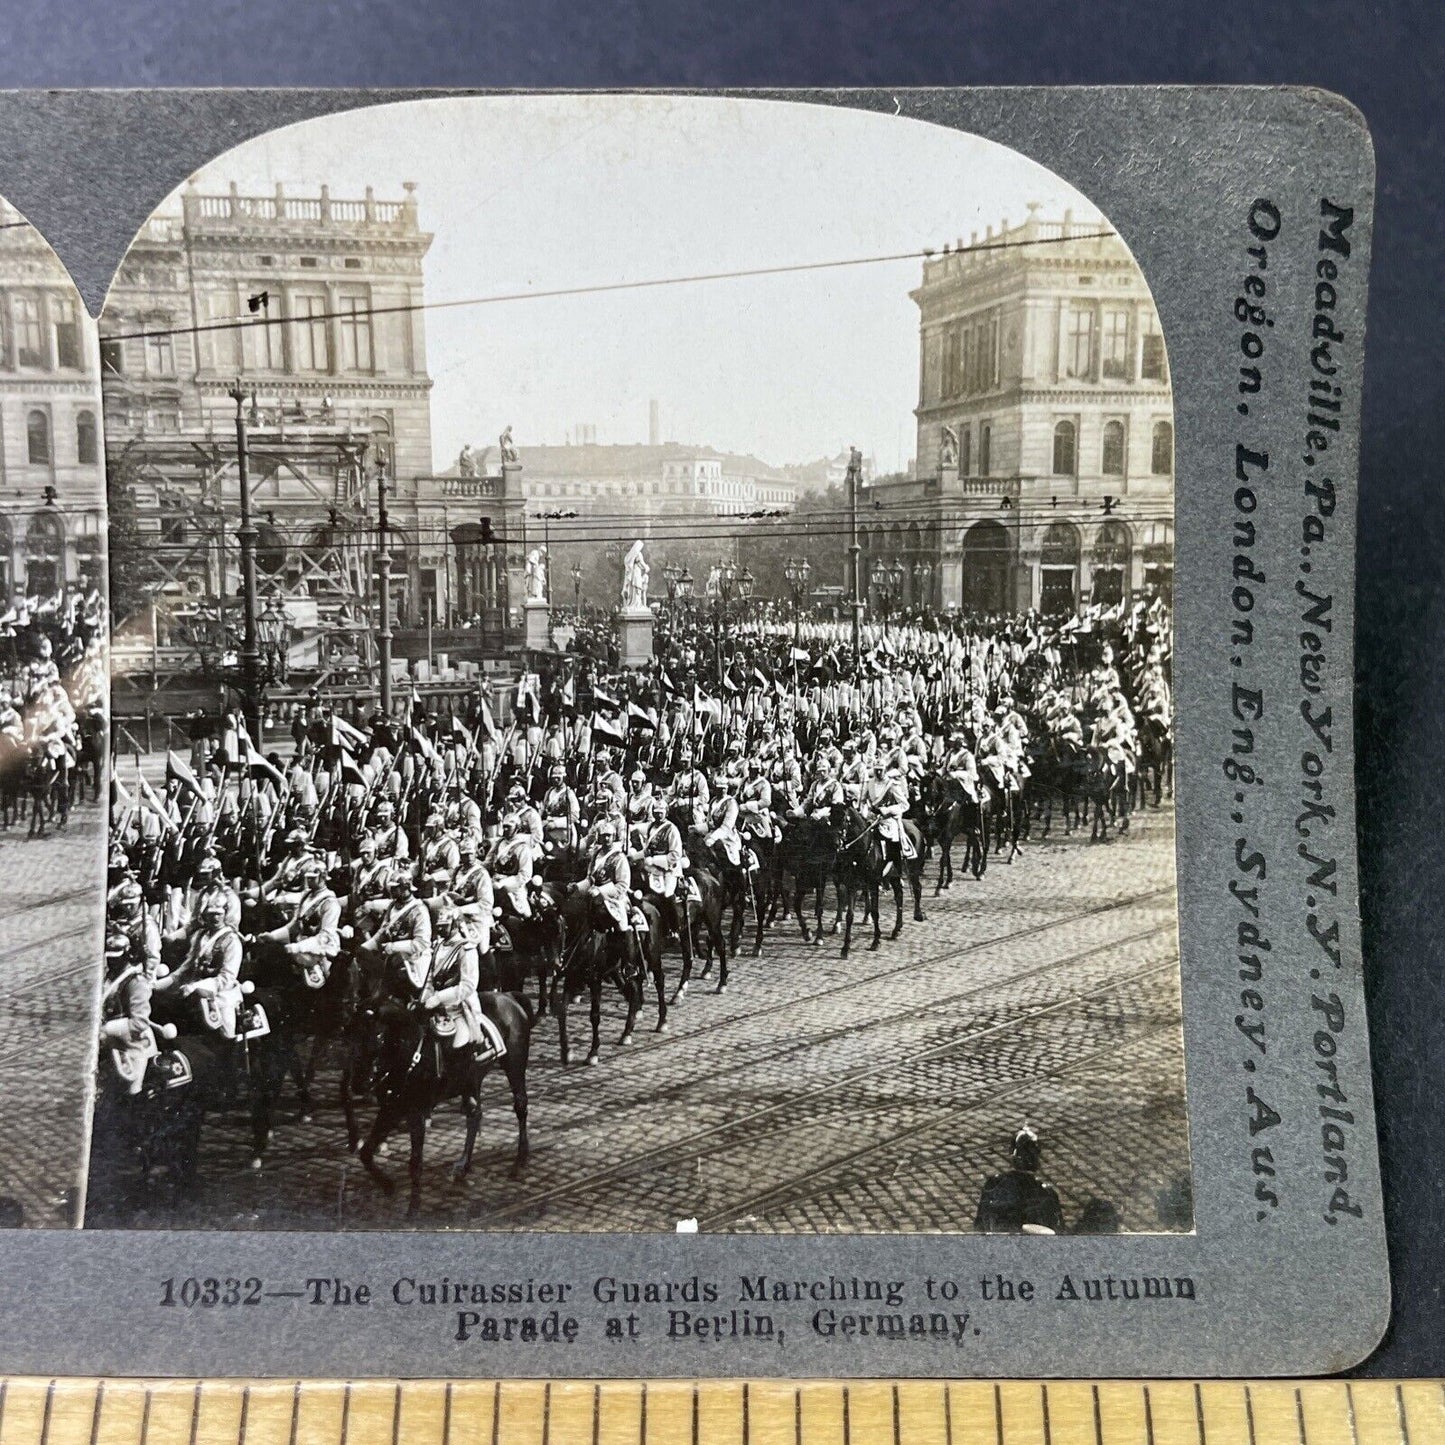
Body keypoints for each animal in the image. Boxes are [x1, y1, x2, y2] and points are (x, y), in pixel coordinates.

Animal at [355, 988, 537, 1213]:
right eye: (351, 1034)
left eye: (380, 1036)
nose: (359, 1083)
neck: (412, 1052)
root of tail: (509, 997)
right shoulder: (391, 1108)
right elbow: (366, 1152)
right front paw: (388, 1185)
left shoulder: (416, 1112)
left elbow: (415, 1162)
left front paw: (413, 1209)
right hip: (471, 1080)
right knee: (475, 1115)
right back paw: (463, 1166)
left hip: (514, 1066)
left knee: (520, 1105)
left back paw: (520, 1159)